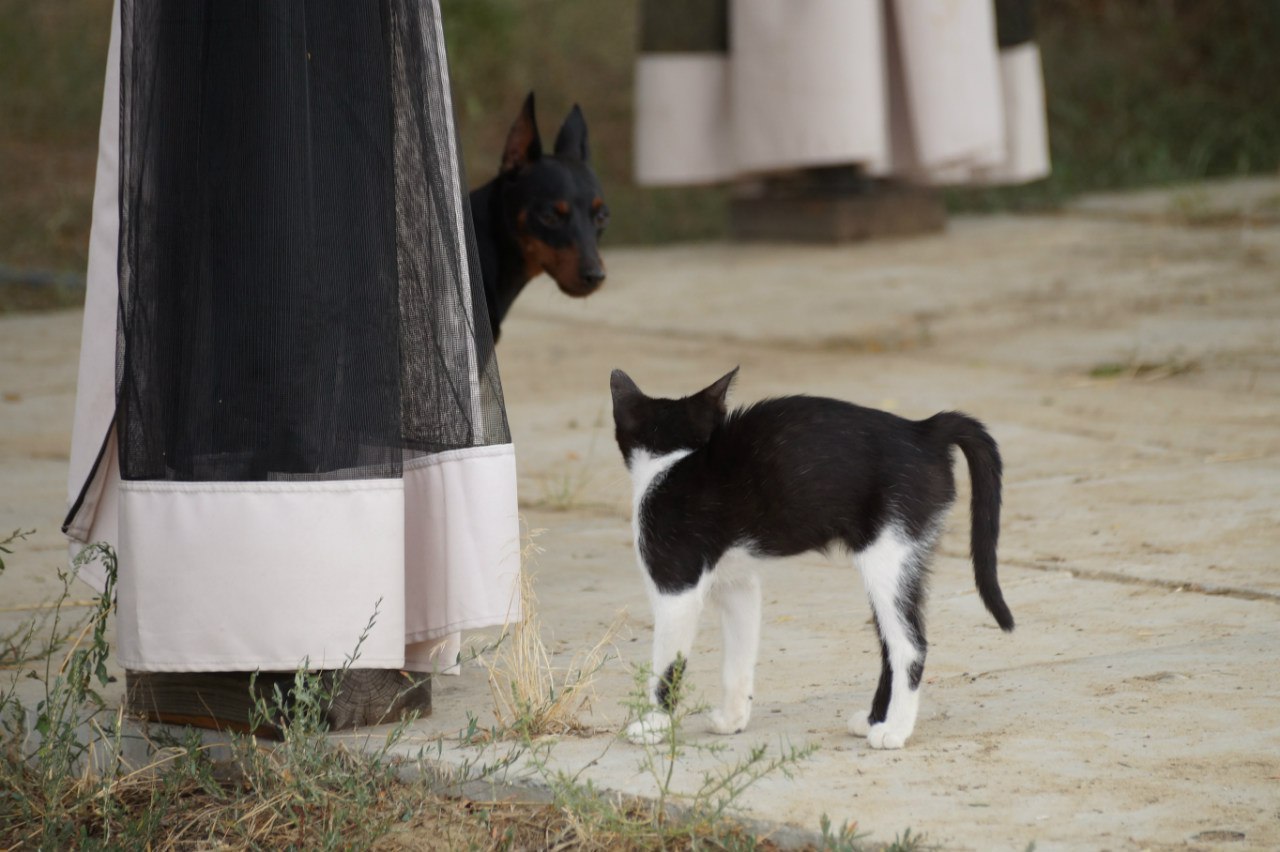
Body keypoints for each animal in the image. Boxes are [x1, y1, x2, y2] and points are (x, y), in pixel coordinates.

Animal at [609, 365, 1008, 741]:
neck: (673, 459)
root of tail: (924, 430)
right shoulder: (739, 585)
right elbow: (738, 657)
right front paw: (732, 719)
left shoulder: (675, 587)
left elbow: (667, 666)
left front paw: (654, 726)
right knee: (889, 644)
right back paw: (873, 720)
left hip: (887, 556)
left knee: (910, 645)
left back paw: (894, 730)